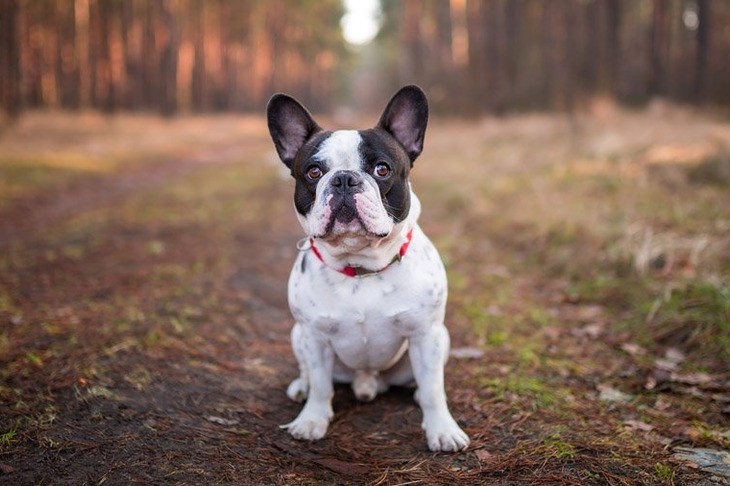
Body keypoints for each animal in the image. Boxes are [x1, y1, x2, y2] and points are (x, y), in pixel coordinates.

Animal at [266, 84, 466, 452]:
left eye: (382, 170)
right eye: (314, 172)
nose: (344, 179)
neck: (360, 266)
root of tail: (366, 379)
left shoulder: (425, 335)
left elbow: (434, 389)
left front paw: (442, 429)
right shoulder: (315, 338)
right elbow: (321, 385)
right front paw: (311, 420)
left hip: (438, 340)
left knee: (423, 383)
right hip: (298, 335)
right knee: (309, 373)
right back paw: (301, 387)